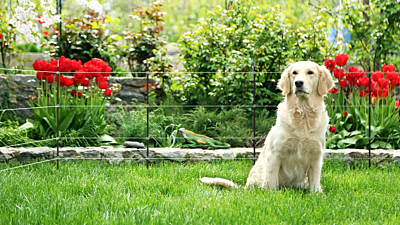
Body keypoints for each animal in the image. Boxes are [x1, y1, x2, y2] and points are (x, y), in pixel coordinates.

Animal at [200, 61, 334, 192]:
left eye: (310, 72)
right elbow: (271, 181)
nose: (298, 83)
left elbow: (315, 182)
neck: (303, 114)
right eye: (294, 73)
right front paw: (272, 194)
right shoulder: (274, 153)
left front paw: (316, 194)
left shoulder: (316, 155)